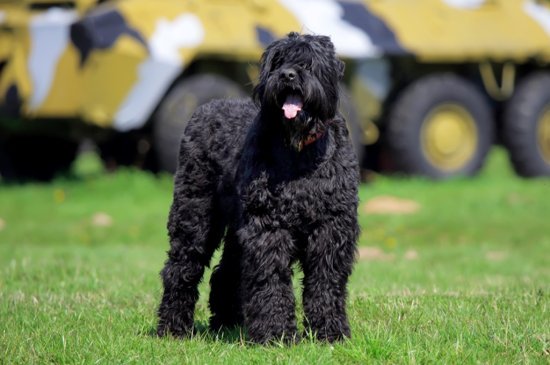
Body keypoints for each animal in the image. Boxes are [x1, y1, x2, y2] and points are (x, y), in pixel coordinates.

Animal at [157, 32, 360, 342]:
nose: (288, 74)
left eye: (309, 62)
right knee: (181, 268)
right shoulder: (268, 227)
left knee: (226, 271)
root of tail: (203, 109)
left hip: (235, 227)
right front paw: (276, 333)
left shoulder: (331, 228)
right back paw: (173, 326)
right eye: (277, 61)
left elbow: (326, 281)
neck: (299, 152)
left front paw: (330, 332)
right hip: (195, 216)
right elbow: (270, 279)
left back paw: (227, 322)